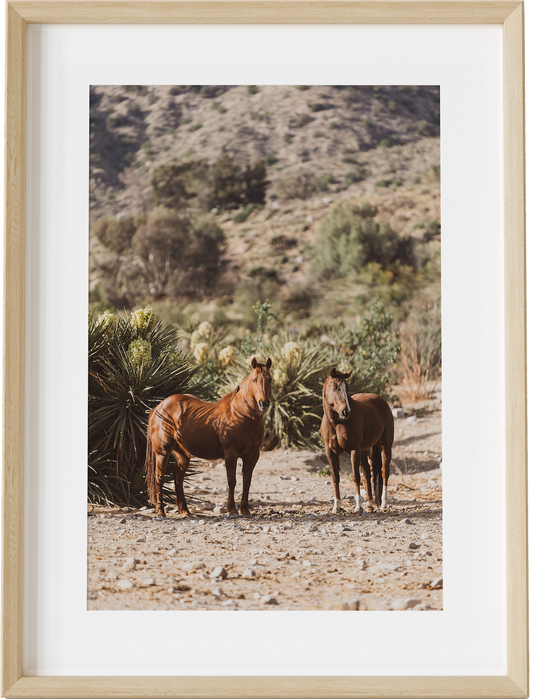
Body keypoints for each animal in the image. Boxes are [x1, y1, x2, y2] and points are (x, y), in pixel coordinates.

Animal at [145, 357, 272, 518]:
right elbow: (232, 481)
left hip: (183, 455)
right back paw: (161, 512)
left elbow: (247, 482)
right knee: (159, 478)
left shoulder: (252, 455)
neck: (239, 414)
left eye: (270, 379)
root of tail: (159, 407)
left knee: (178, 478)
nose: (264, 403)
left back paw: (185, 511)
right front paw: (232, 510)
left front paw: (245, 510)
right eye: (254, 380)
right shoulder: (231, 454)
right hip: (162, 452)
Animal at [320, 368, 394, 514]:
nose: (346, 411)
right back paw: (370, 503)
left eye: (347, 388)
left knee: (384, 472)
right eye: (335, 388)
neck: (336, 423)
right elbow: (335, 477)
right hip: (364, 450)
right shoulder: (330, 452)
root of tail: (382, 401)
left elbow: (355, 477)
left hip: (385, 446)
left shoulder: (354, 450)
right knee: (367, 472)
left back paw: (383, 503)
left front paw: (358, 507)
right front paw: (336, 506)